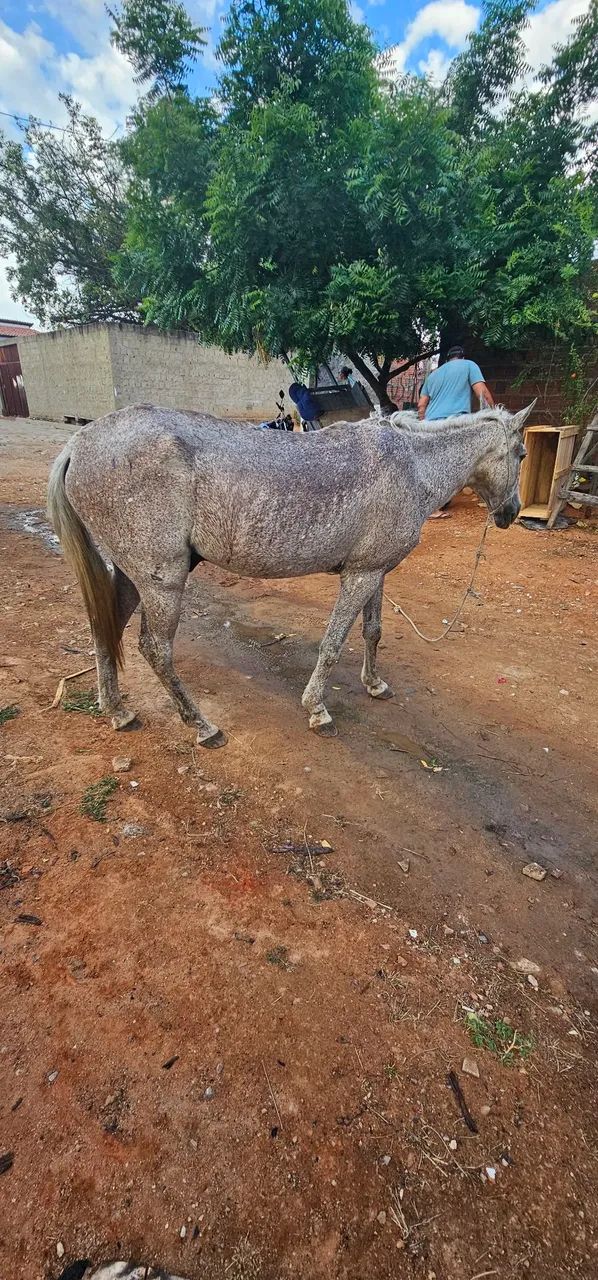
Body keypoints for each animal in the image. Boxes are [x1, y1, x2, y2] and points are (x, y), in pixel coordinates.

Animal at [47, 402, 534, 746]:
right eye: (522, 453)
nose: (511, 513)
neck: (411, 466)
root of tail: (79, 444)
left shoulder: (374, 571)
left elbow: (373, 631)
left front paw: (374, 684)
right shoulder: (359, 576)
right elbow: (333, 644)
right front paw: (317, 708)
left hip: (133, 576)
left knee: (104, 629)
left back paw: (116, 711)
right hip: (161, 581)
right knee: (155, 649)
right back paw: (202, 726)